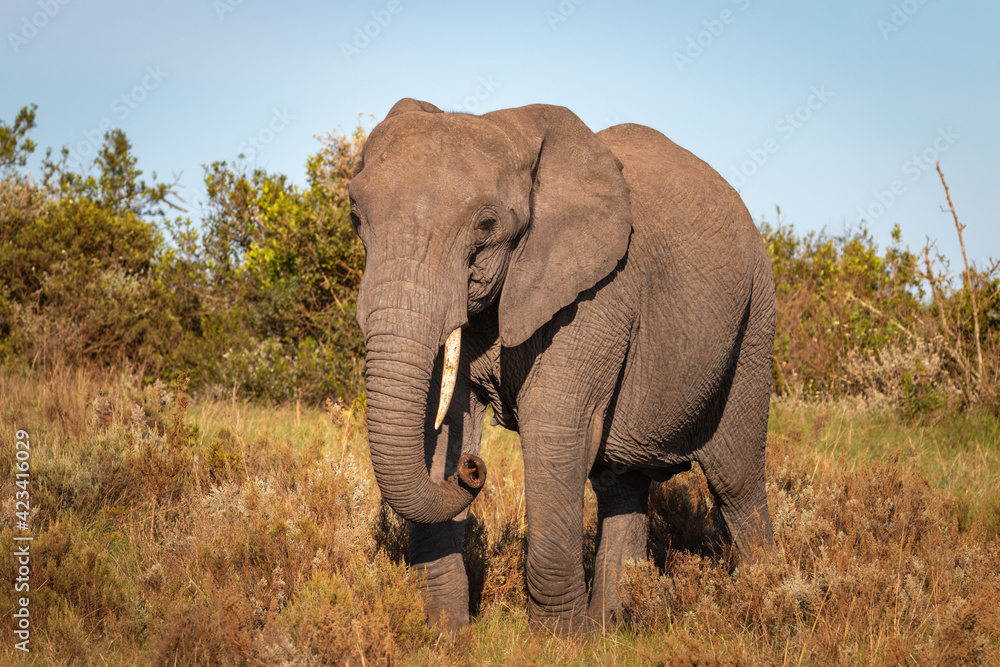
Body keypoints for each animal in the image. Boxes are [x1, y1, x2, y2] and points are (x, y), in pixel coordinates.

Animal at [349, 97, 775, 634]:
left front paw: (557, 643)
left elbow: (552, 427)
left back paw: (770, 601)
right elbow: (440, 426)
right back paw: (611, 630)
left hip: (754, 321)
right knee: (622, 483)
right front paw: (449, 636)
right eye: (355, 217)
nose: (472, 471)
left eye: (486, 226)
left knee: (736, 481)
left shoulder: (598, 293)